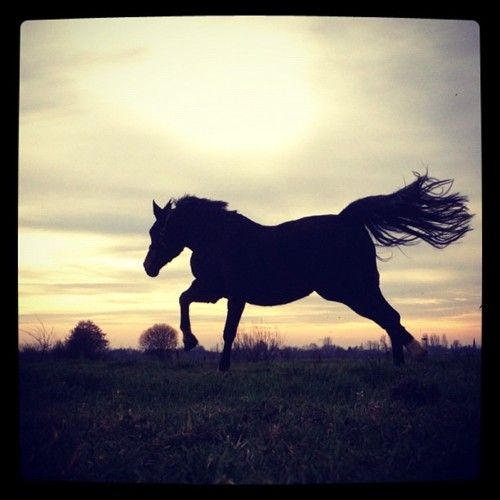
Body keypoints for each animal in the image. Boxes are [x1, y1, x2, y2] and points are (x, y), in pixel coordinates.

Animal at [143, 173, 470, 372]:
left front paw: (217, 364)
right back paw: (400, 364)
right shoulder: (212, 290)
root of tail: (348, 219)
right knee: (390, 317)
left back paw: (415, 355)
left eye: (159, 232)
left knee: (389, 317)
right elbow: (184, 298)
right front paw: (190, 342)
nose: (148, 268)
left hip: (352, 289)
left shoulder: (234, 295)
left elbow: (227, 331)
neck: (219, 239)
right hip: (356, 290)